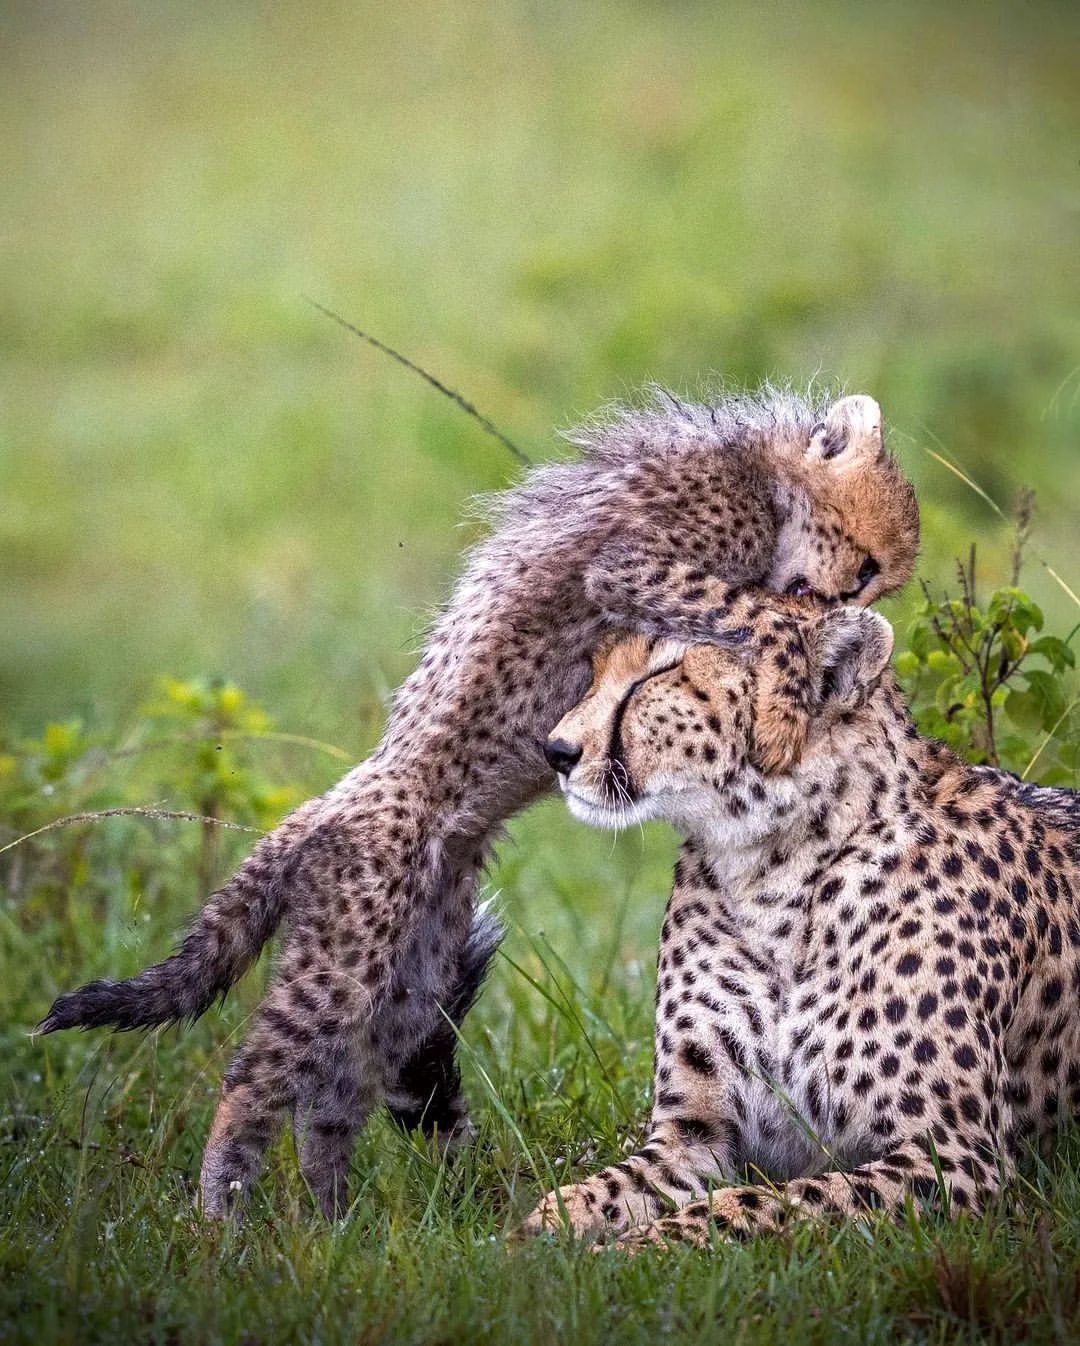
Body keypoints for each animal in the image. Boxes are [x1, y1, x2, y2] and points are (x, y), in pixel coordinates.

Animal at [37, 390, 915, 1222]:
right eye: (866, 564)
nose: (844, 600)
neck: (764, 472)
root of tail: (327, 803)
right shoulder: (643, 562)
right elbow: (747, 612)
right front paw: (788, 691)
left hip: (414, 972)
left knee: (342, 1095)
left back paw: (333, 1225)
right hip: (341, 963)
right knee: (256, 1076)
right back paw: (223, 1214)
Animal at [519, 600, 1066, 1249]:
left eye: (662, 671)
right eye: (599, 666)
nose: (557, 751)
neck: (773, 871)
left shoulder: (953, 1155)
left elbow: (767, 1202)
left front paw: (642, 1246)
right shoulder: (693, 1136)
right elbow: (599, 1191)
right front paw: (533, 1238)